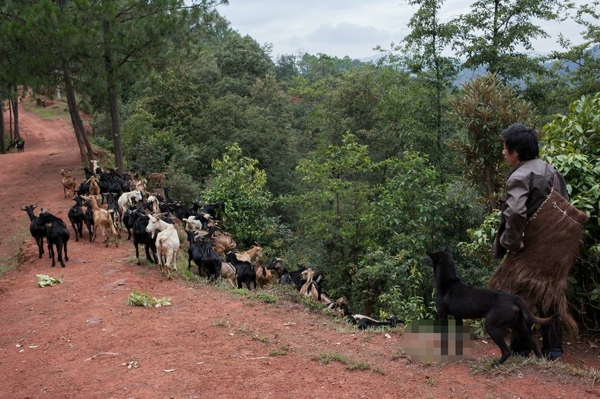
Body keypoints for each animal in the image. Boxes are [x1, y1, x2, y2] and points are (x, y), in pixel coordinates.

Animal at [424, 244, 556, 366]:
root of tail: (513, 297)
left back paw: (496, 364)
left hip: (492, 326)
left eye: (431, 257)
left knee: (507, 351)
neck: (448, 282)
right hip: (519, 326)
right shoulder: (458, 318)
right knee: (533, 344)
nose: (425, 259)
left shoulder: (442, 314)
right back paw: (540, 360)